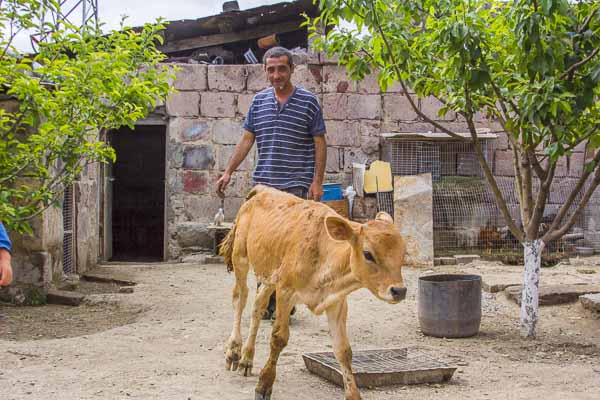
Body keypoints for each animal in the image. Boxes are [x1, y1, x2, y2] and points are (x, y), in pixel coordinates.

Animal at [220, 185, 408, 400]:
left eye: (403, 253)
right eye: (368, 254)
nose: (399, 290)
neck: (323, 253)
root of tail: (262, 190)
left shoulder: (336, 302)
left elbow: (343, 350)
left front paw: (353, 394)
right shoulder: (286, 291)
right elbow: (278, 338)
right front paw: (264, 384)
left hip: (270, 275)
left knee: (258, 304)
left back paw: (247, 358)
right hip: (240, 257)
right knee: (240, 298)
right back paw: (234, 350)